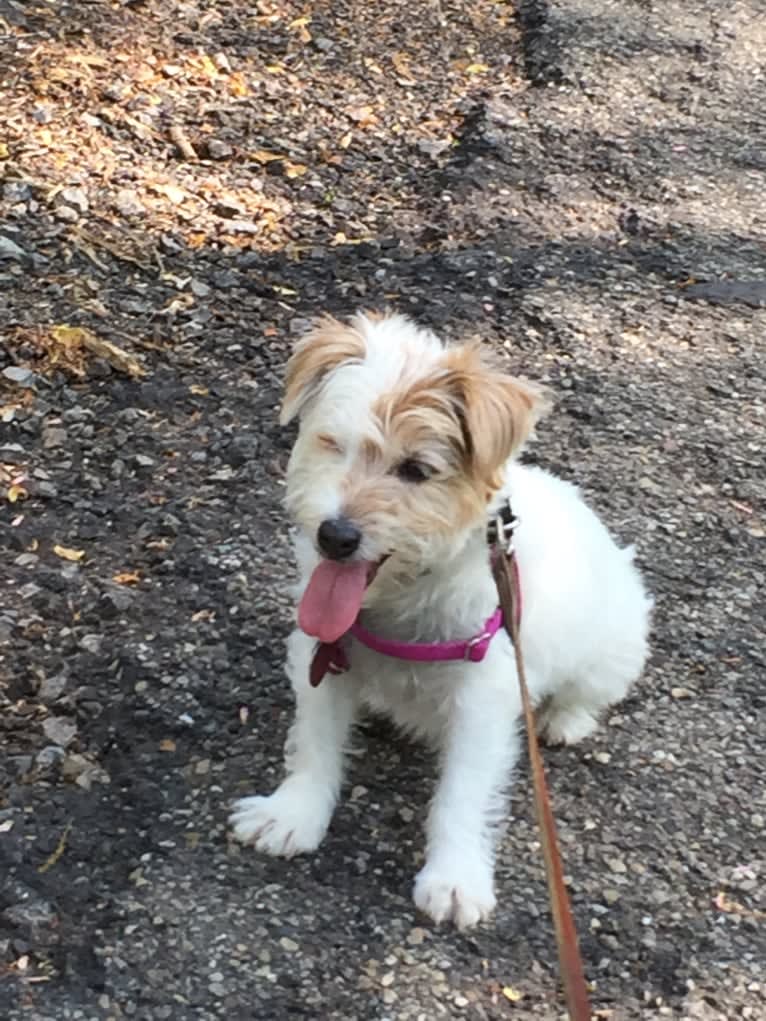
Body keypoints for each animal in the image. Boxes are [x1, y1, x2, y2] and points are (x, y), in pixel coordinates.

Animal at [230, 308, 649, 927]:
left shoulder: (483, 701)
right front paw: (295, 813)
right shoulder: (322, 658)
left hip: (614, 646)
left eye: (416, 469)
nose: (335, 536)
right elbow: (315, 743)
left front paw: (454, 878)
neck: (404, 597)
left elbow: (462, 795)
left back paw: (564, 719)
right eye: (333, 444)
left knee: (590, 691)